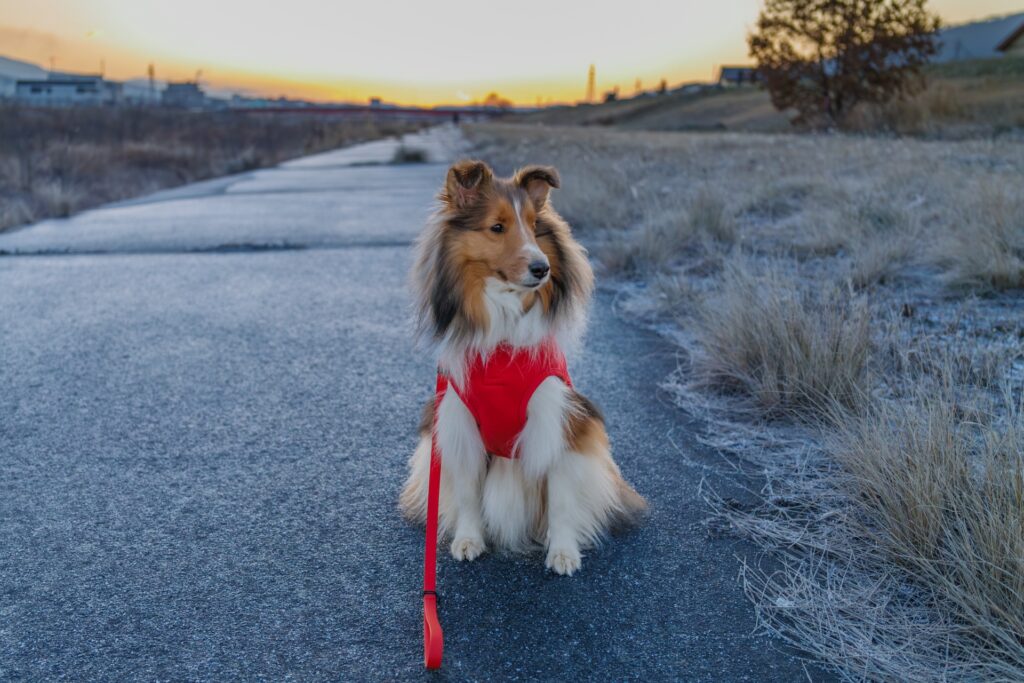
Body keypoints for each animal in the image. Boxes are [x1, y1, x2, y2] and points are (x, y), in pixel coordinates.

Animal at [397, 157, 638, 573]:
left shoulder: (556, 419)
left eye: (534, 226)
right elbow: (467, 493)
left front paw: (563, 552)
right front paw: (468, 539)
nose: (542, 269)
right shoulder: (459, 422)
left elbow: (560, 497)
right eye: (497, 227)